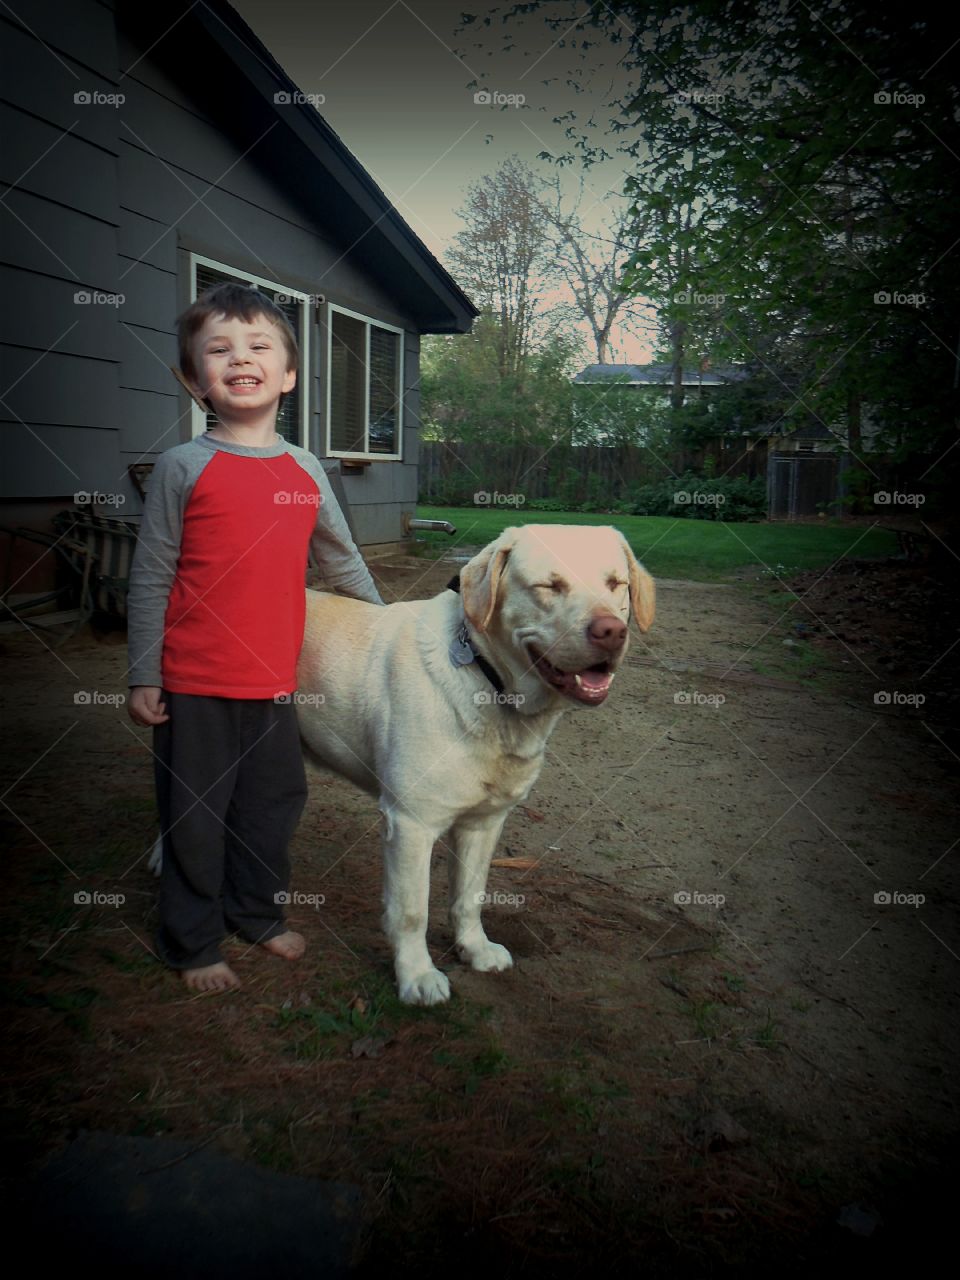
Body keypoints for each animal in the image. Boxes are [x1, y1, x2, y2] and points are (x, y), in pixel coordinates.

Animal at [296, 524, 655, 1003]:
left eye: (617, 584)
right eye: (549, 586)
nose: (611, 632)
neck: (489, 682)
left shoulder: (484, 823)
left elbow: (470, 896)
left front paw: (474, 950)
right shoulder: (410, 823)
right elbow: (411, 911)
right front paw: (416, 976)